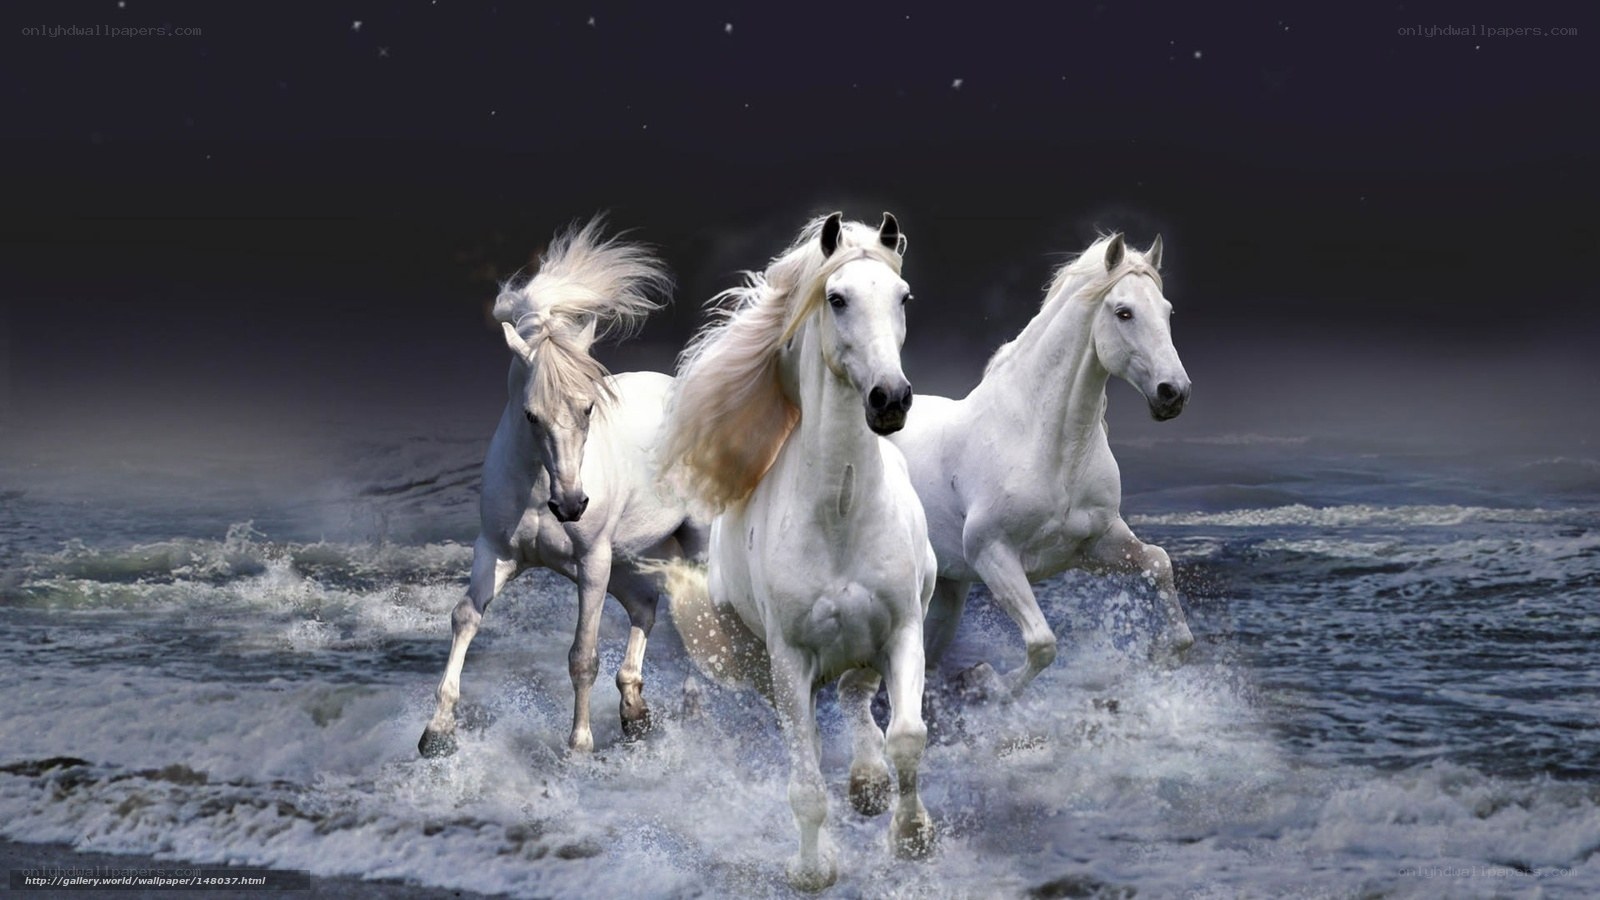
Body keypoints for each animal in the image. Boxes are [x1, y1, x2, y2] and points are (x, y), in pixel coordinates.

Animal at [418, 217, 708, 758]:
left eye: (588, 407)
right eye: (531, 414)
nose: (571, 505)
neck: (538, 489)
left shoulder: (591, 562)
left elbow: (583, 655)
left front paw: (579, 747)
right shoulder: (497, 552)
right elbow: (465, 617)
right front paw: (436, 733)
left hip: (689, 543)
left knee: (699, 616)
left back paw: (691, 707)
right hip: (630, 557)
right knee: (646, 606)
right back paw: (635, 712)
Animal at [656, 212, 937, 891]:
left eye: (903, 297)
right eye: (836, 299)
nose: (890, 399)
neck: (840, 513)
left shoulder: (902, 629)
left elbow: (907, 736)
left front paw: (912, 837)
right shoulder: (789, 659)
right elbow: (806, 784)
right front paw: (813, 870)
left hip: (868, 644)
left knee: (858, 696)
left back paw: (868, 784)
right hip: (762, 662)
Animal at [889, 233, 1195, 697]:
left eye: (1167, 311)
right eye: (1124, 312)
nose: (1173, 393)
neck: (1049, 448)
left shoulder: (1095, 544)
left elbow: (1159, 563)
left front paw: (1161, 655)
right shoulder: (992, 554)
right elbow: (1042, 643)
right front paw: (986, 683)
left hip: (947, 589)